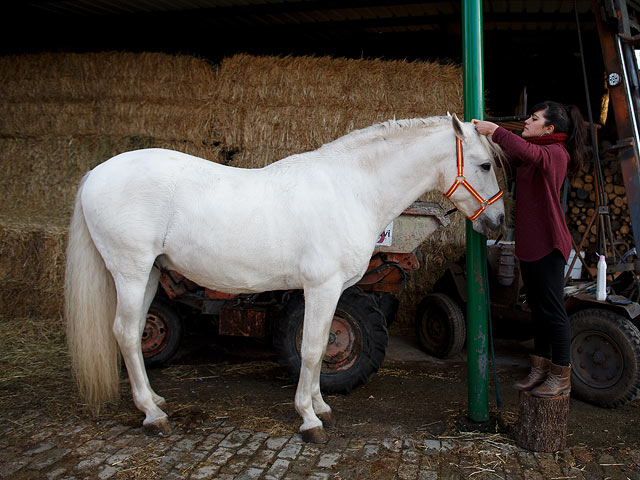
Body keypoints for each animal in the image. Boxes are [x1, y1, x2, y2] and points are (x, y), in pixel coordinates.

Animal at [65, 112, 504, 442]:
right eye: (484, 165)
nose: (498, 222)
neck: (351, 190)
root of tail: (96, 173)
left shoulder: (332, 292)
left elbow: (322, 345)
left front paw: (322, 406)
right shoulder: (321, 287)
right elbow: (311, 348)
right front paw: (309, 419)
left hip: (151, 273)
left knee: (137, 329)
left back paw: (155, 401)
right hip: (131, 271)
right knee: (125, 332)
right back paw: (152, 417)